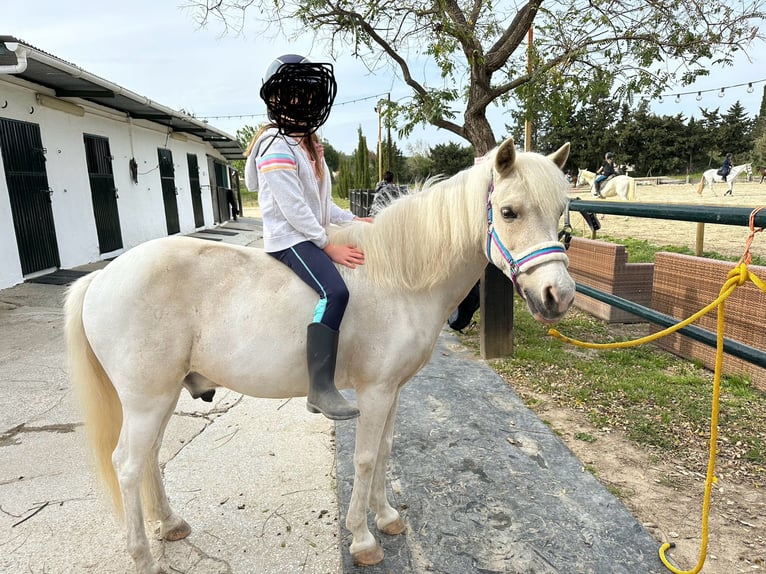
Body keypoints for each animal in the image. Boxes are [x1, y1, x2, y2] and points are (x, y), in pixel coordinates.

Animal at [64, 140, 576, 574]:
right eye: (509, 211)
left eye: (560, 213)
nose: (559, 296)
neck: (400, 278)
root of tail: (102, 278)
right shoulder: (374, 392)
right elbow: (365, 458)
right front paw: (363, 539)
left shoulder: (393, 391)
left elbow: (385, 451)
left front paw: (386, 517)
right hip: (147, 400)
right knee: (128, 465)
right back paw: (143, 558)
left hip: (162, 397)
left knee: (149, 457)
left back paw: (170, 524)